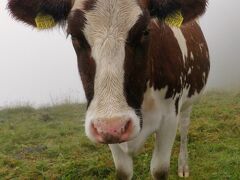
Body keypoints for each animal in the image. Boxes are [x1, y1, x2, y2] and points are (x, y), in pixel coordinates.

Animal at [8, 0, 209, 179]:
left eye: (145, 31)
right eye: (74, 35)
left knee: (184, 127)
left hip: (188, 102)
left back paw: (183, 166)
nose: (114, 127)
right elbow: (123, 171)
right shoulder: (106, 133)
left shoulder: (169, 119)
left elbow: (159, 170)